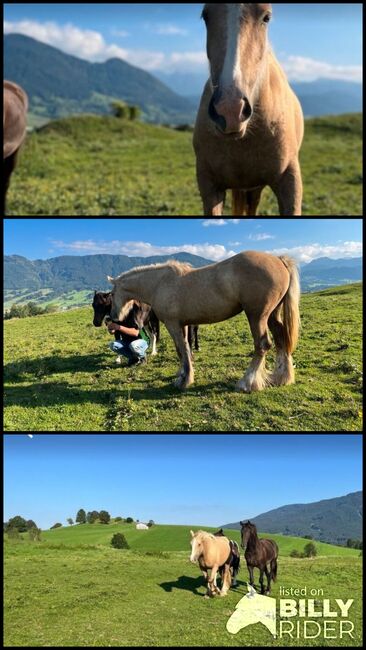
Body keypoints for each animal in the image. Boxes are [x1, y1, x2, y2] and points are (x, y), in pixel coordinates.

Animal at [108, 249, 300, 390]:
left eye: (112, 294)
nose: (113, 317)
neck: (160, 283)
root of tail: (279, 260)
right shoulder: (183, 324)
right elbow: (184, 349)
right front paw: (182, 374)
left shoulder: (172, 325)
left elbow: (183, 349)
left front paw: (185, 380)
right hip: (272, 315)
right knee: (281, 339)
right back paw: (281, 378)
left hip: (257, 316)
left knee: (263, 345)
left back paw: (246, 383)